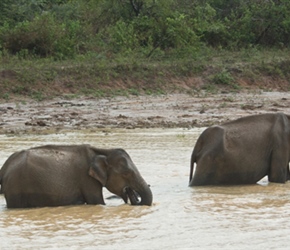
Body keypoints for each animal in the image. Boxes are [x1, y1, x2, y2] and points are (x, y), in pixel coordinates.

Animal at [0, 144, 153, 208]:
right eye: (126, 173)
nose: (129, 190)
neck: (103, 150)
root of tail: (4, 167)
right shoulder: (87, 179)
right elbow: (97, 201)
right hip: (16, 188)